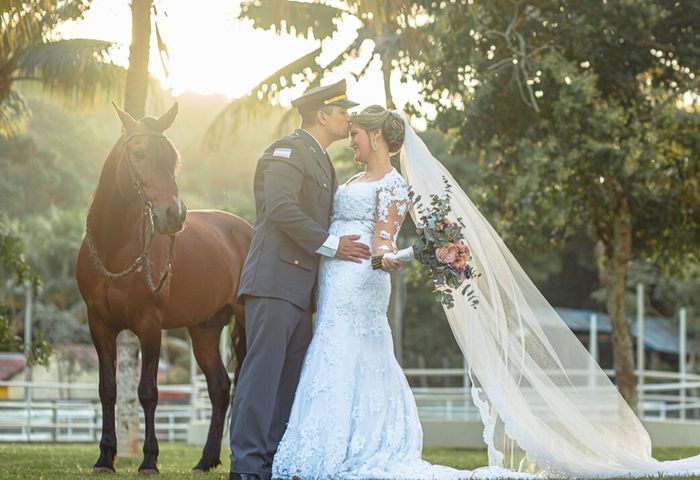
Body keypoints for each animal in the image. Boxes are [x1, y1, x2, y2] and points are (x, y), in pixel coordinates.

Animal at [76, 103, 252, 474]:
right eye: (139, 153)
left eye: (173, 158)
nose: (175, 215)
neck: (114, 246)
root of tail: (244, 229)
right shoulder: (98, 324)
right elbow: (107, 389)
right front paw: (105, 457)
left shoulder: (149, 325)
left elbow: (148, 392)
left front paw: (149, 460)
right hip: (204, 329)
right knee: (220, 387)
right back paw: (206, 459)